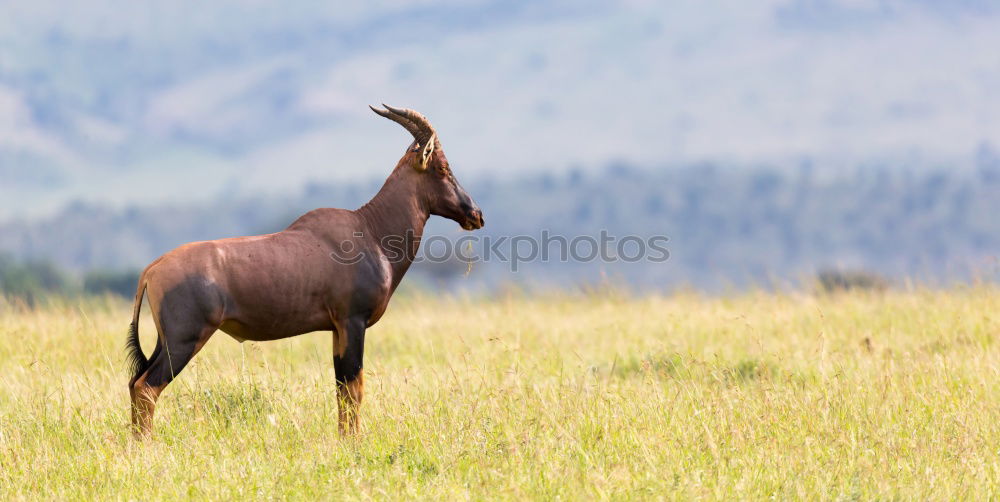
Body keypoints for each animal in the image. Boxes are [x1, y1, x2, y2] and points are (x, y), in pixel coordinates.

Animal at [125, 104, 484, 438]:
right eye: (442, 167)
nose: (476, 214)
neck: (369, 229)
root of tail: (153, 269)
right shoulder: (353, 322)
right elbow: (354, 388)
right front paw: (353, 443)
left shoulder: (337, 329)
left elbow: (342, 389)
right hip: (185, 339)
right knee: (147, 387)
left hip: (165, 340)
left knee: (134, 382)